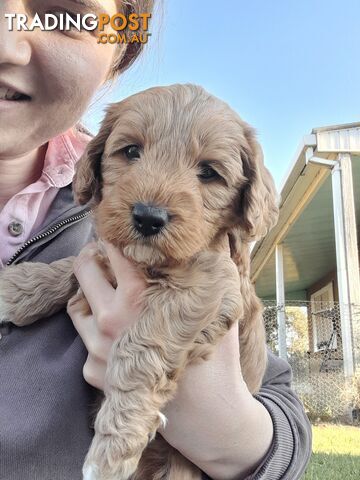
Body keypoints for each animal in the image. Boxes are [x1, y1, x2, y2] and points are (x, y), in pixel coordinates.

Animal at [0, 84, 278, 478]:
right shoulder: (109, 254)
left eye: (209, 172)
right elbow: (75, 262)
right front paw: (12, 291)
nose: (148, 217)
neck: (148, 263)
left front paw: (112, 446)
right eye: (132, 151)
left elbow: (139, 346)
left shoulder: (209, 286)